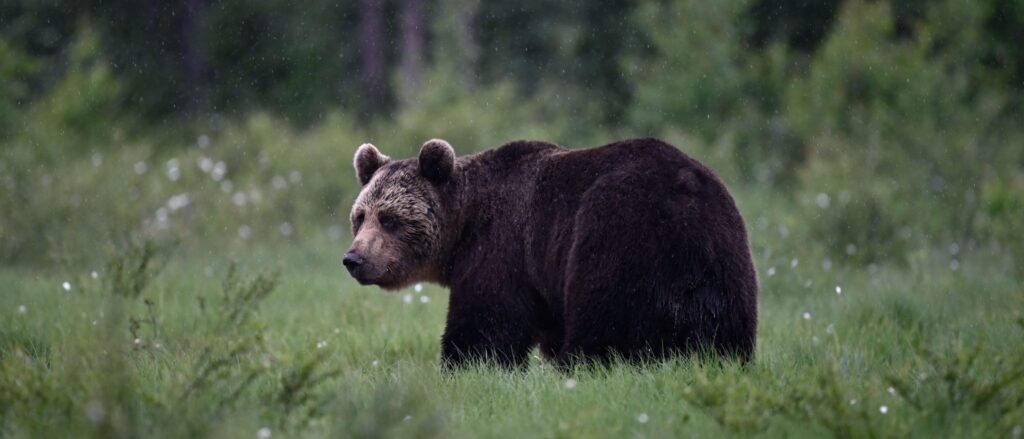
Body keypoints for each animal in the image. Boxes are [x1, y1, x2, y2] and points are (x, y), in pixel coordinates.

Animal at [348, 137, 757, 366]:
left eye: (390, 219)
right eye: (360, 216)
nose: (354, 259)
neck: (464, 226)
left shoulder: (503, 248)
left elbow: (485, 322)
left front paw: (464, 365)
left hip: (616, 232)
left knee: (604, 318)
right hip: (724, 256)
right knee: (727, 333)